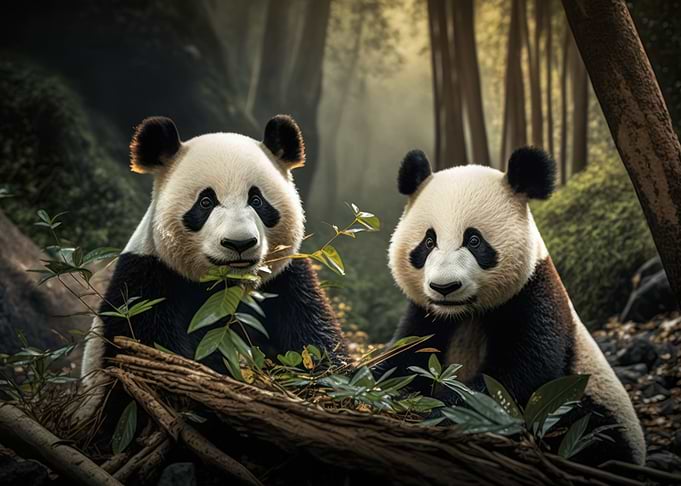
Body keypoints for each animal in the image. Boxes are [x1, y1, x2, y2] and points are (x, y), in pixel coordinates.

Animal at [79, 114, 346, 419]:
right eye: (206, 202)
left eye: (257, 200)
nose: (239, 243)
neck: (225, 288)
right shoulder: (147, 282)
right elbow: (152, 350)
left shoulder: (286, 281)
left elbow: (316, 339)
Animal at [382, 147, 645, 466]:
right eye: (428, 242)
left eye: (474, 240)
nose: (445, 287)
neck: (465, 313)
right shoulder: (426, 315)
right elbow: (403, 356)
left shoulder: (533, 298)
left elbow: (514, 378)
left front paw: (440, 409)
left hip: (592, 404)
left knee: (593, 431)